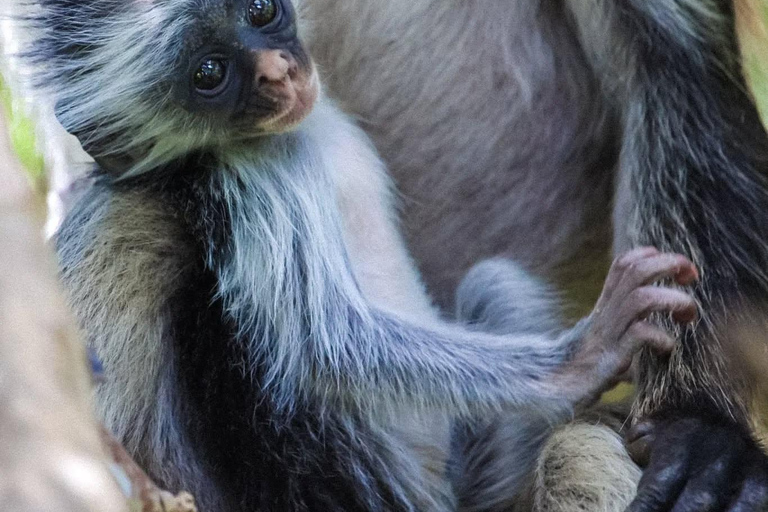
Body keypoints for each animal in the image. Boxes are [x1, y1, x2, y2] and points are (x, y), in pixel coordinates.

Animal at [14, 0, 704, 510]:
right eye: (209, 73)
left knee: (496, 281)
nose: (276, 72)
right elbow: (326, 345)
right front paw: (585, 357)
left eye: (259, 10)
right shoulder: (254, 182)